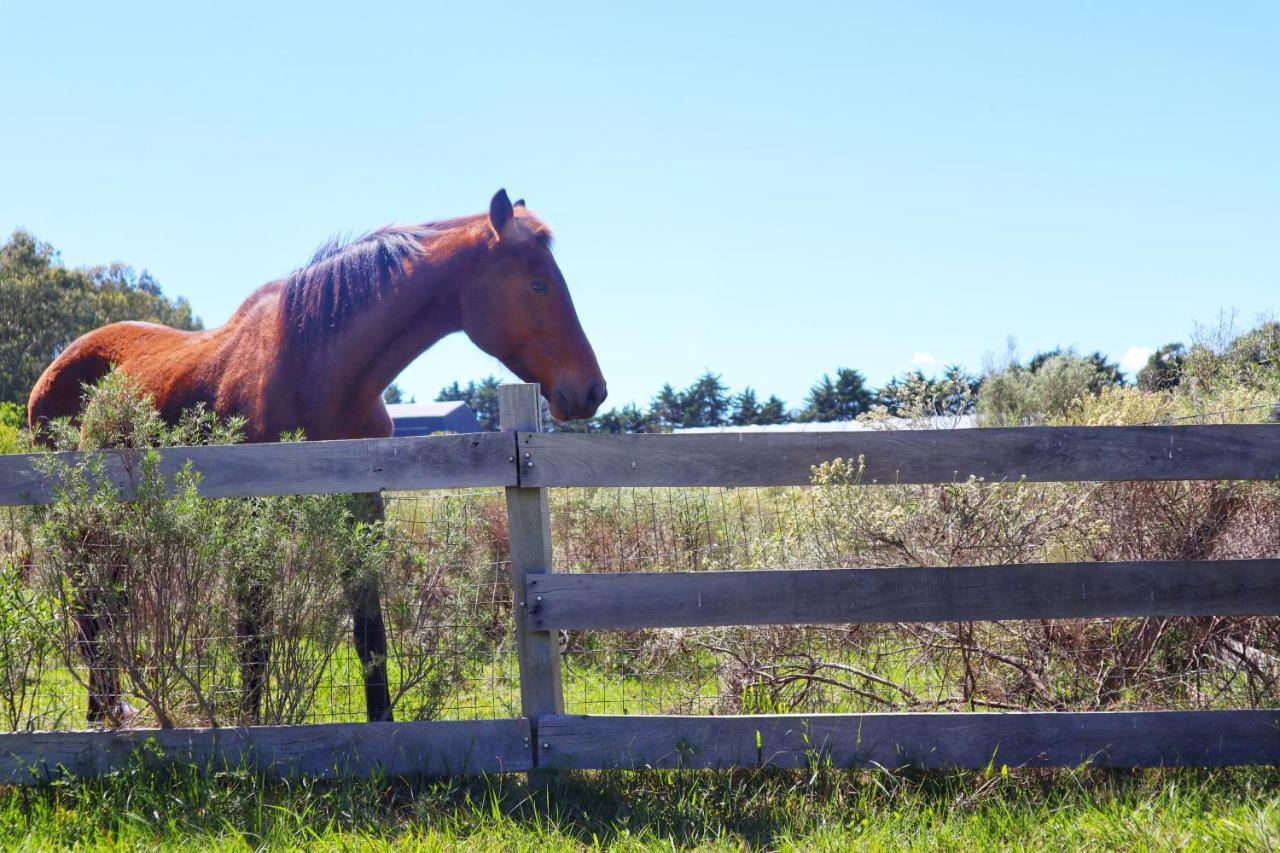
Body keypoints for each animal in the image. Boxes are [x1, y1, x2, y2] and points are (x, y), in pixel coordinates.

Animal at [28, 189, 609, 722]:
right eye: (538, 283)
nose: (592, 391)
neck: (316, 370)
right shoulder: (251, 515)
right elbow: (253, 636)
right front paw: (251, 722)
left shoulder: (363, 508)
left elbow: (369, 633)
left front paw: (383, 724)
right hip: (85, 520)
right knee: (92, 608)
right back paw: (104, 712)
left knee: (108, 605)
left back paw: (107, 708)